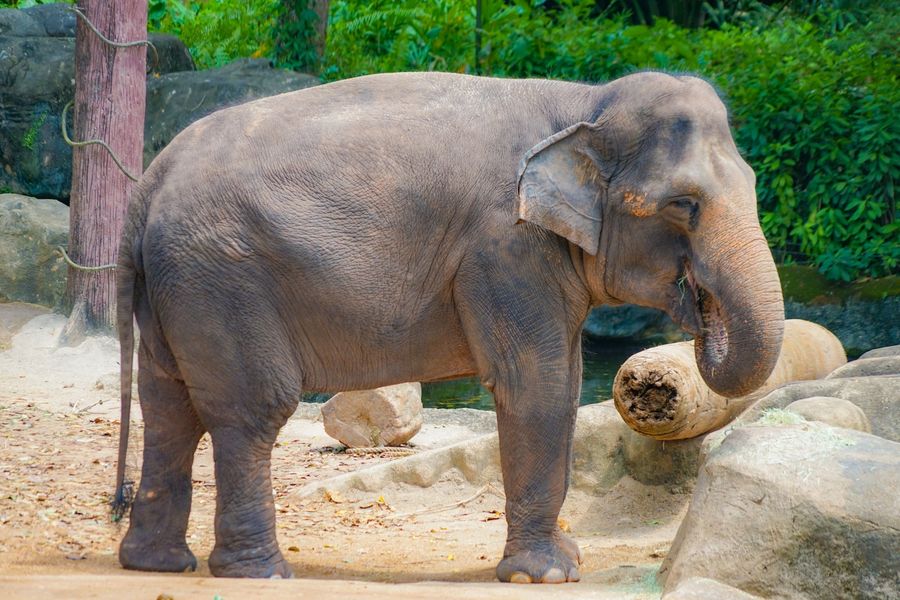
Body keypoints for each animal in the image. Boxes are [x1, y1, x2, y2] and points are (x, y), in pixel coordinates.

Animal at [116, 69, 784, 580]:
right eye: (684, 204)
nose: (699, 309)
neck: (584, 103)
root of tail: (147, 185)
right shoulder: (505, 248)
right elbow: (535, 384)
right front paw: (545, 575)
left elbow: (567, 381)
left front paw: (565, 560)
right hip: (222, 279)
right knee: (251, 409)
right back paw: (260, 574)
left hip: (178, 288)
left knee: (168, 404)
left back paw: (157, 565)